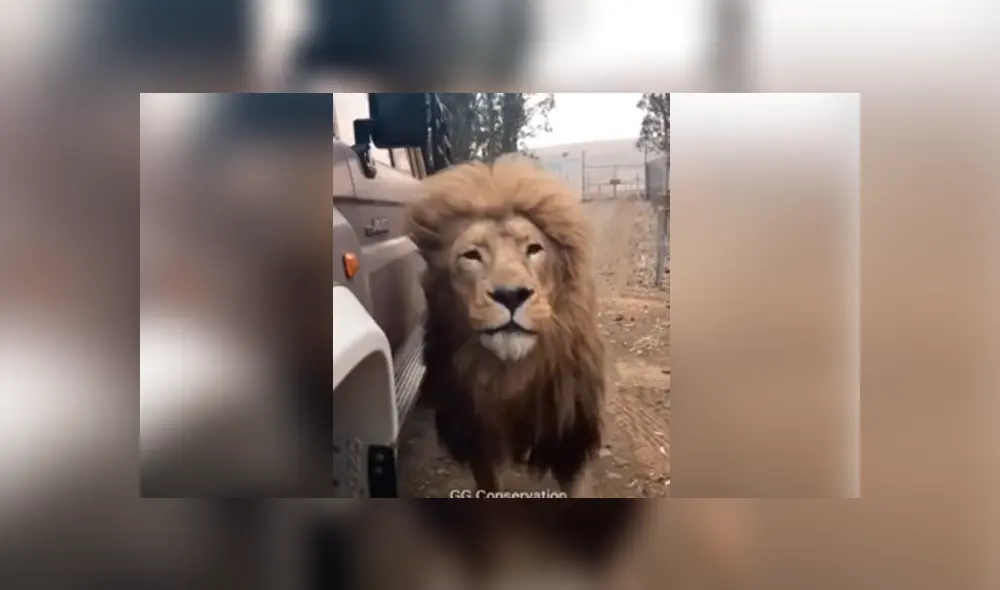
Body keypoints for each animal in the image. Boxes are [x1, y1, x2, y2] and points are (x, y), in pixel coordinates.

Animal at [405, 155, 605, 497]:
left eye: (534, 249)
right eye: (471, 255)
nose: (511, 295)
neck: (510, 376)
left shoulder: (569, 443)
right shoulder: (479, 443)